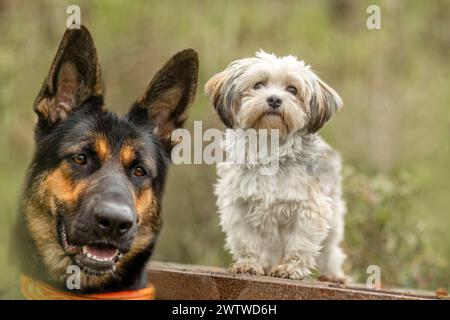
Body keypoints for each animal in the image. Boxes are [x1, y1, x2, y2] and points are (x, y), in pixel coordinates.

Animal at [206, 48, 346, 282]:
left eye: (292, 89)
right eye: (259, 85)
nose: (274, 99)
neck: (270, 144)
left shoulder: (310, 209)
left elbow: (300, 243)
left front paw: (291, 268)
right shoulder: (239, 204)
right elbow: (246, 240)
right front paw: (248, 264)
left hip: (333, 216)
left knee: (330, 248)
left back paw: (333, 274)